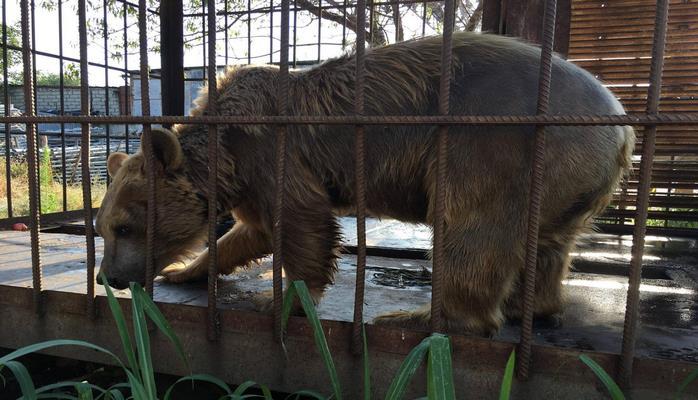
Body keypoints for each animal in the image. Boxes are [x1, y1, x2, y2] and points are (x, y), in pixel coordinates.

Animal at [95, 31, 635, 336]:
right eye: (102, 227)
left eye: (124, 226)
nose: (108, 278)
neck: (226, 149)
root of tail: (620, 121)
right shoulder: (248, 179)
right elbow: (249, 234)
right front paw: (183, 270)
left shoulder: (273, 151)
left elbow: (302, 221)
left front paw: (281, 298)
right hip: (565, 173)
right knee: (546, 244)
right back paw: (537, 307)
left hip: (497, 142)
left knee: (474, 226)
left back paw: (420, 317)